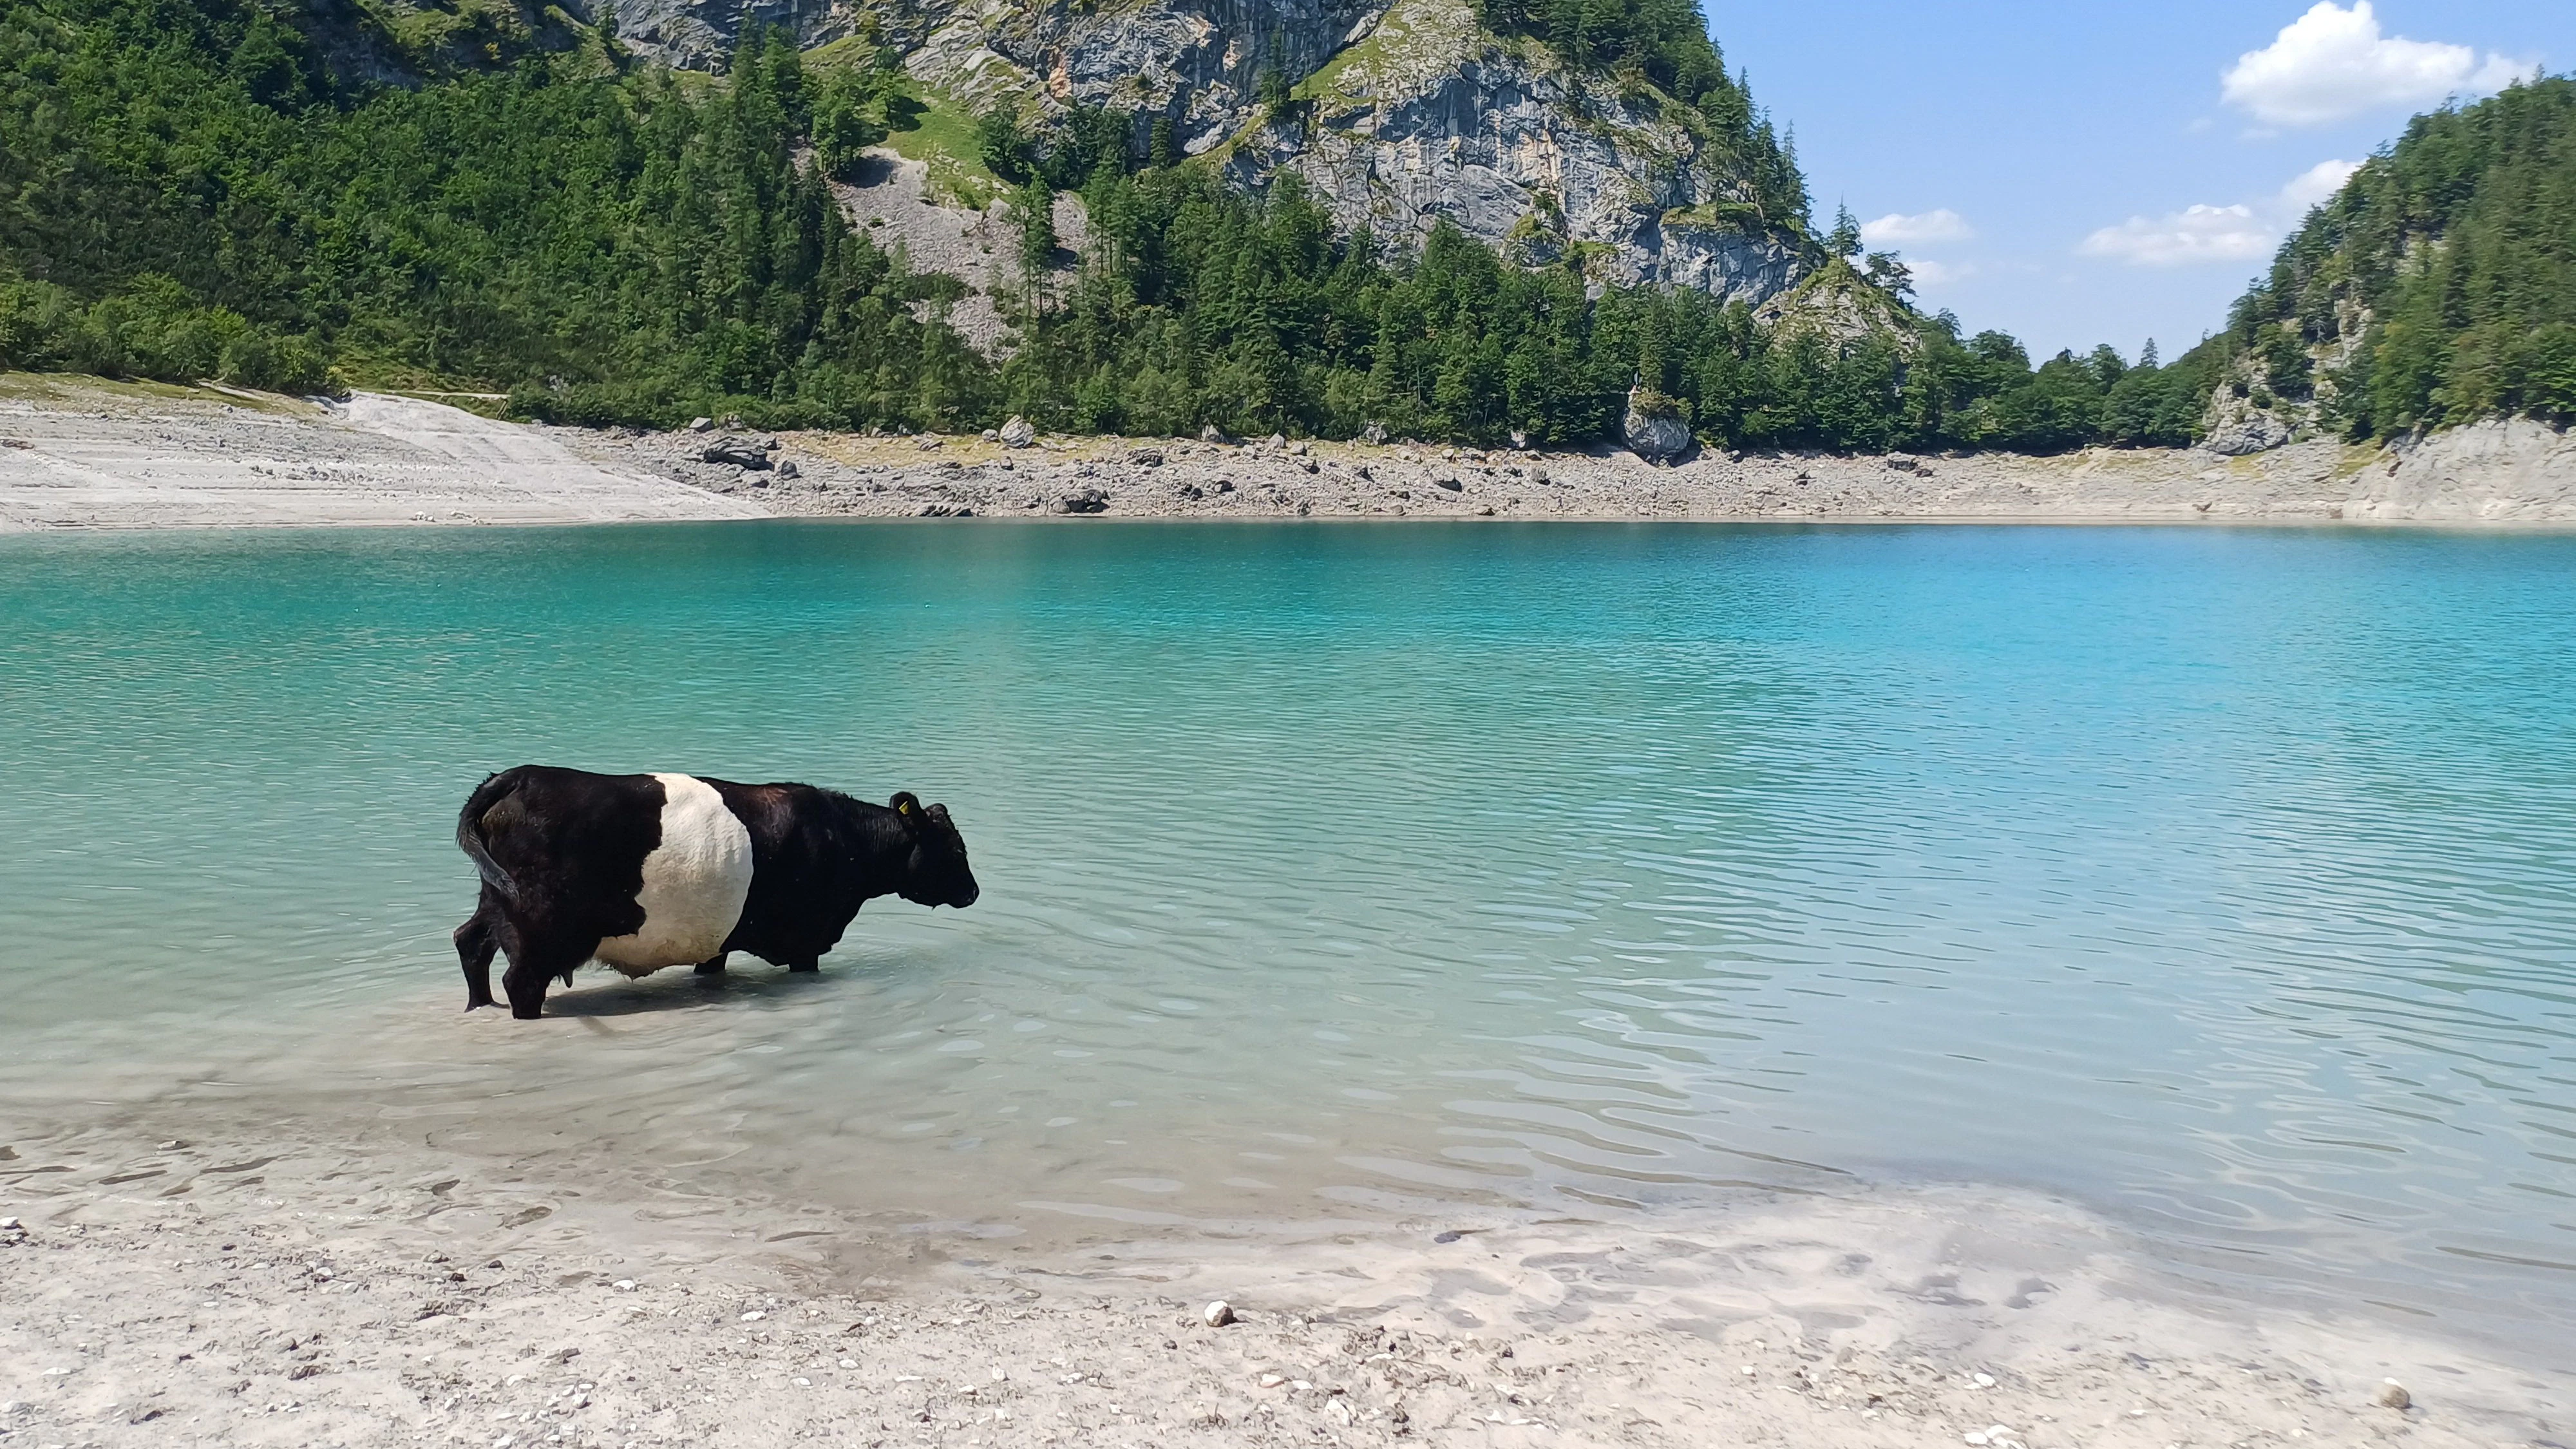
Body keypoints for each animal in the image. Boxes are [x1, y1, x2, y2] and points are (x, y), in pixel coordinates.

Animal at [452, 765, 979, 1019]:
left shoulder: (714, 940)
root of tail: (518, 775)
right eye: (956, 849)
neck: (842, 837)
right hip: (540, 929)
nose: (974, 892)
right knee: (520, 982)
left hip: (496, 903)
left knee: (470, 943)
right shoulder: (806, 942)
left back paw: (479, 1007)